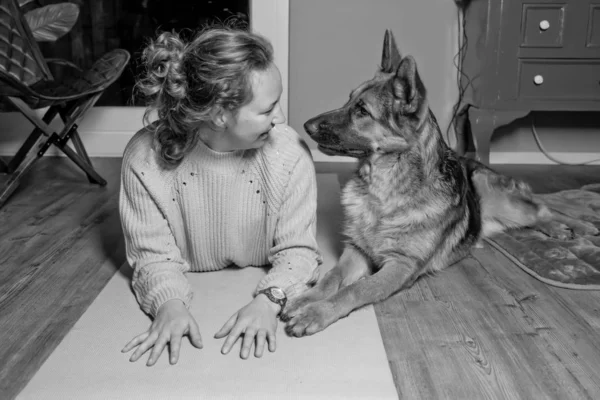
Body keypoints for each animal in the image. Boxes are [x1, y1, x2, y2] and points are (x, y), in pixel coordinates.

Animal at [284, 30, 552, 338]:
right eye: (349, 100)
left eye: (362, 111)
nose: (306, 126)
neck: (383, 191)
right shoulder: (357, 251)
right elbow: (332, 277)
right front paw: (306, 298)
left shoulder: (400, 266)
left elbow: (355, 290)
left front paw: (316, 312)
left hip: (506, 203)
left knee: (542, 207)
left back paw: (565, 229)